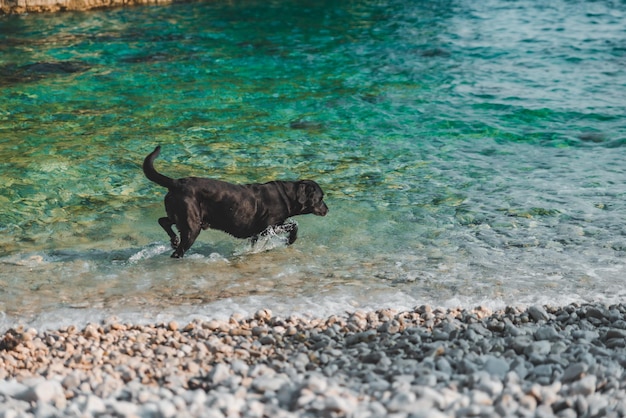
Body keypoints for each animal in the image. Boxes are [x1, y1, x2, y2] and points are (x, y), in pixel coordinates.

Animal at [141, 146, 326, 258]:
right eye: (321, 198)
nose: (327, 209)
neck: (287, 195)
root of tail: (176, 182)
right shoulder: (268, 227)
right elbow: (294, 225)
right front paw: (290, 240)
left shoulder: (259, 233)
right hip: (192, 226)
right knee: (178, 248)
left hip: (180, 215)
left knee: (163, 221)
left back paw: (173, 240)